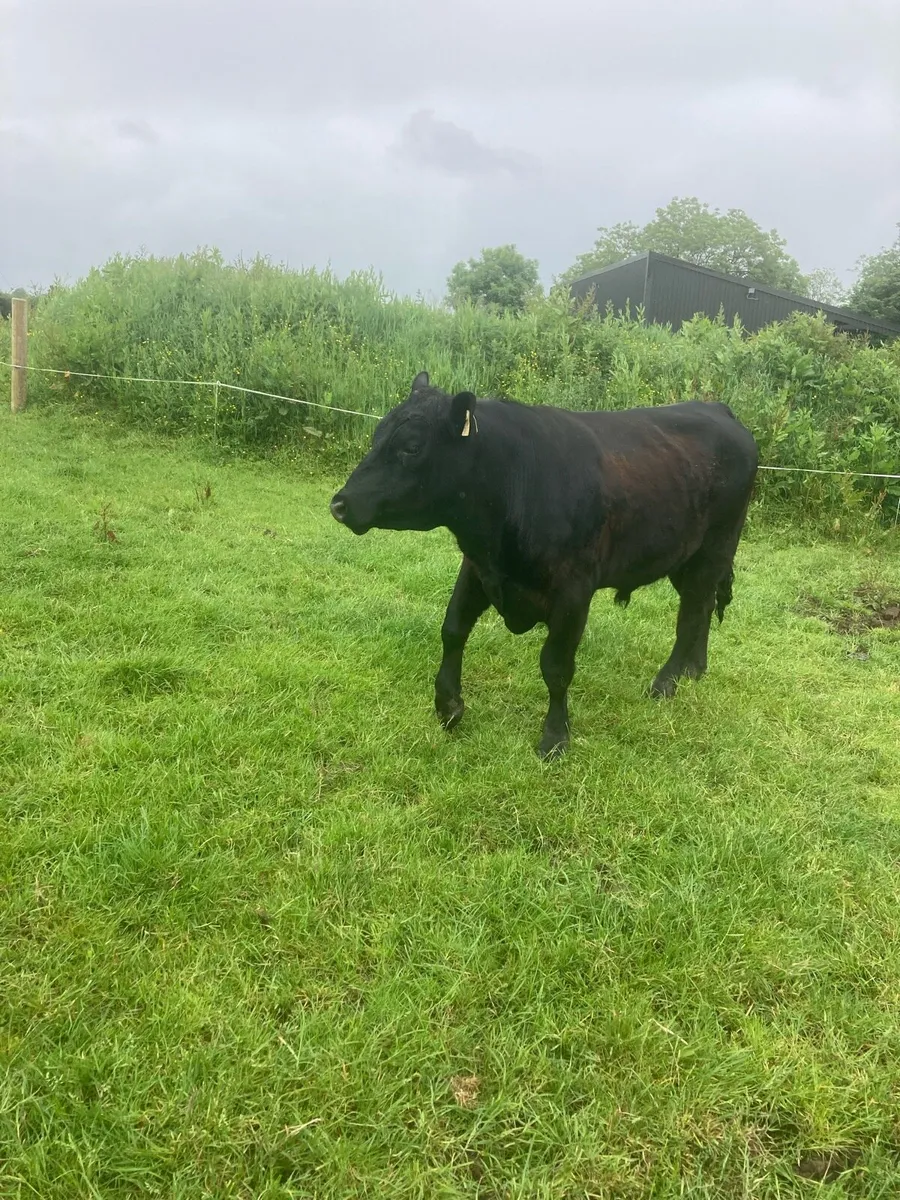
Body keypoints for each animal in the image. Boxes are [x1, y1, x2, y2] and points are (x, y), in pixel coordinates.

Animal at [330, 372, 758, 759]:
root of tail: (718, 409)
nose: (340, 503)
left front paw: (555, 738)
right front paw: (448, 706)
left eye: (412, 447)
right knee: (701, 607)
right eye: (377, 436)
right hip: (685, 556)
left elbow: (555, 666)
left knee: (692, 614)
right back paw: (694, 669)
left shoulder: (574, 591)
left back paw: (667, 683)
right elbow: (452, 630)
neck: (514, 481)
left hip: (714, 549)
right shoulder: (479, 568)